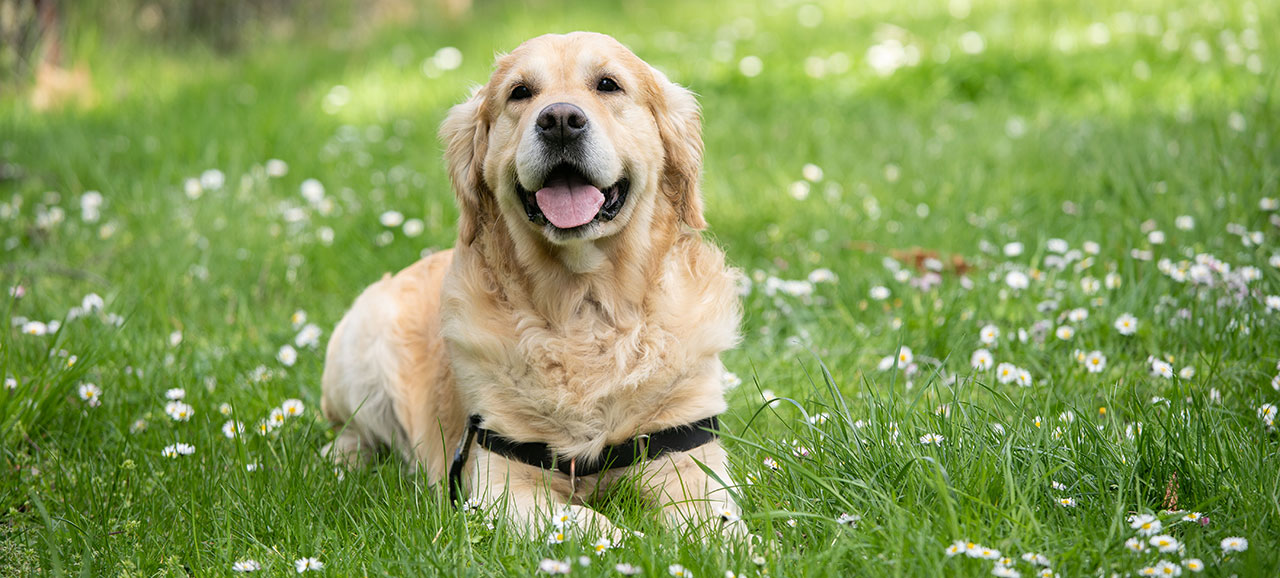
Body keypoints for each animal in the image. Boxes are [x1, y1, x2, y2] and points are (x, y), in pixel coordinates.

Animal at [317, 31, 742, 537]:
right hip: (359, 349)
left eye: (608, 84)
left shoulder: (689, 457)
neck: (585, 307)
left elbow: (716, 525)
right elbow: (592, 524)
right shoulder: (501, 484)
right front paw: (633, 540)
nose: (560, 120)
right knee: (350, 432)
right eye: (520, 92)